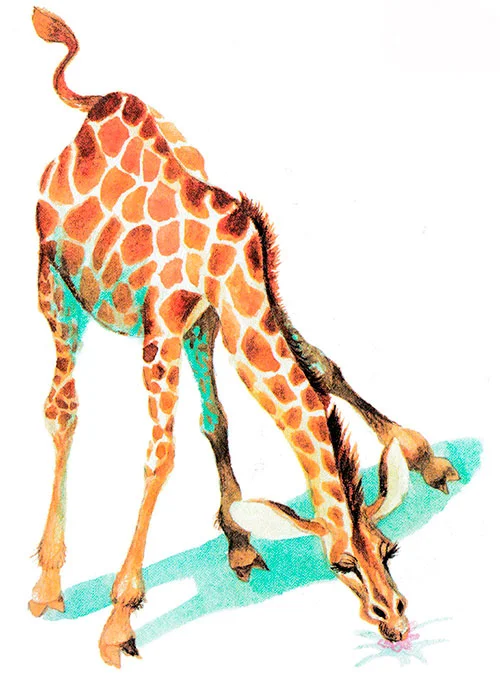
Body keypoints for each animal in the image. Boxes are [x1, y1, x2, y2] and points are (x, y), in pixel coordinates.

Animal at [29, 8, 450, 667]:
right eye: (342, 564)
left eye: (390, 550)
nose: (395, 623)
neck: (227, 262)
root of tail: (95, 104)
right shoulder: (160, 327)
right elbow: (160, 455)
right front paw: (120, 621)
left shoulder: (238, 310)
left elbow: (319, 368)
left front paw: (426, 458)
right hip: (55, 285)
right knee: (62, 408)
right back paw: (48, 584)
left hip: (199, 332)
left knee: (212, 416)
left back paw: (238, 539)